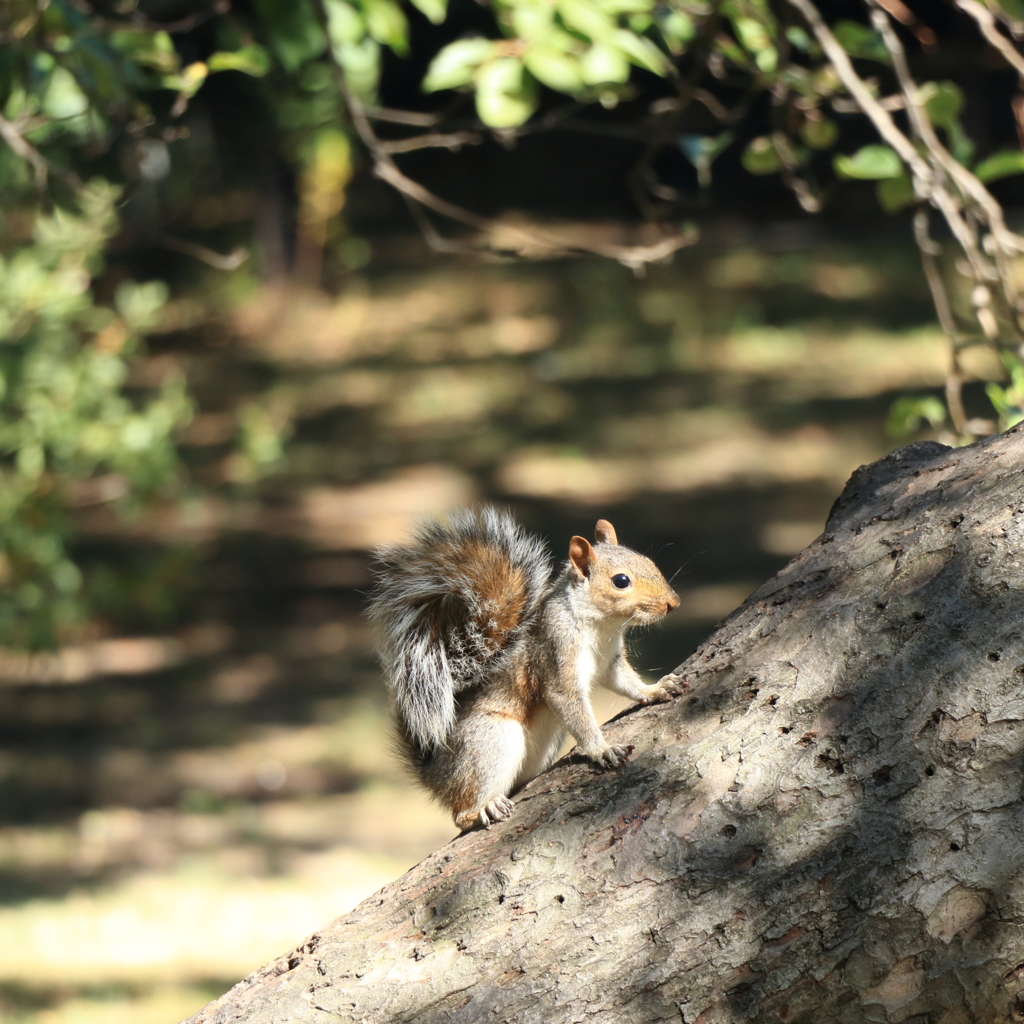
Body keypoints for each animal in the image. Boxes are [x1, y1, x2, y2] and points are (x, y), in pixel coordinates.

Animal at [368, 507, 679, 827]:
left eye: (648, 561)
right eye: (621, 580)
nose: (673, 603)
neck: (601, 626)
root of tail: (433, 776)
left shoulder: (610, 662)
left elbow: (626, 682)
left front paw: (655, 689)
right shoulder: (555, 652)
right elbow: (570, 704)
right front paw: (602, 749)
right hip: (490, 741)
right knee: (460, 813)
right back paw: (483, 809)